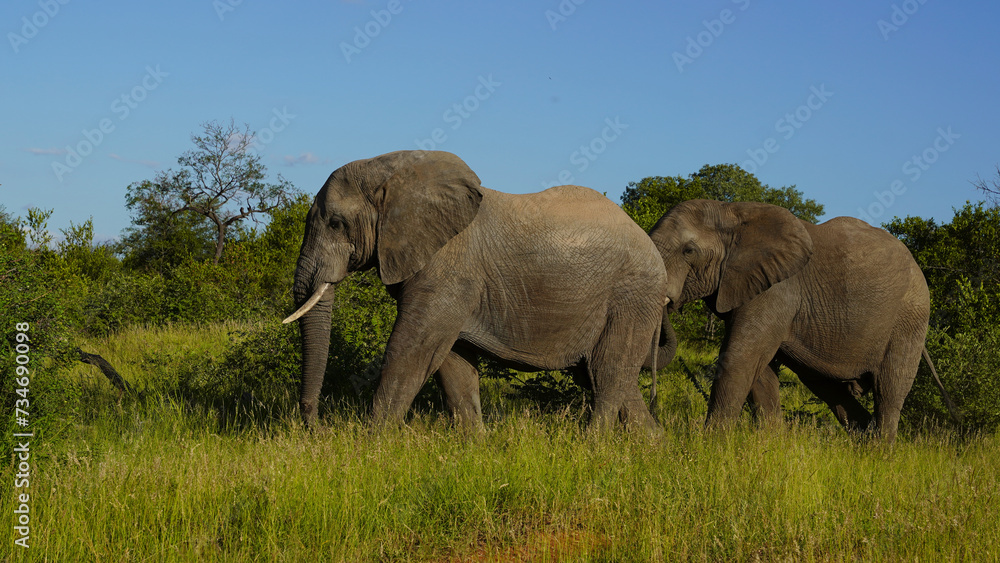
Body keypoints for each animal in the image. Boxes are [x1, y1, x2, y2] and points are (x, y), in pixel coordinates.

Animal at [283, 150, 668, 431]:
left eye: (336, 223)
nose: (317, 427)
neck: (392, 169)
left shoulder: (449, 268)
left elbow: (411, 349)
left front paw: (374, 445)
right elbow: (452, 362)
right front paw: (474, 446)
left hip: (631, 296)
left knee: (607, 375)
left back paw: (593, 446)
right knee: (610, 379)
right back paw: (652, 446)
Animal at [646, 198, 936, 442]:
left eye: (689, 250)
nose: (653, 409)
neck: (731, 211)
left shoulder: (776, 290)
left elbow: (740, 358)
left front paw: (710, 443)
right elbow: (760, 371)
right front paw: (770, 443)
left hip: (909, 320)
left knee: (889, 390)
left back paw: (878, 451)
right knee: (826, 386)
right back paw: (863, 442)